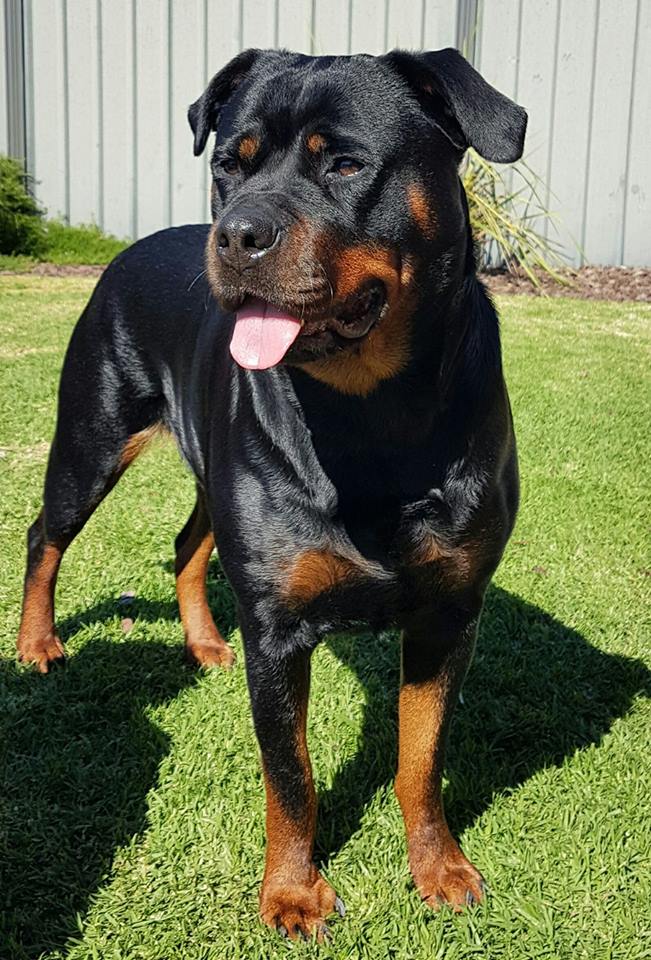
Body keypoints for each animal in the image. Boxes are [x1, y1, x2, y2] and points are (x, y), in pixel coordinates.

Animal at [17, 48, 528, 940]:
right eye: (229, 164)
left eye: (345, 164)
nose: (235, 234)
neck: (373, 413)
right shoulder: (278, 628)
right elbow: (291, 775)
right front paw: (291, 893)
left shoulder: (449, 612)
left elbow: (421, 757)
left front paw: (438, 867)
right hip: (91, 434)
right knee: (45, 533)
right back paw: (38, 644)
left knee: (187, 544)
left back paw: (202, 643)